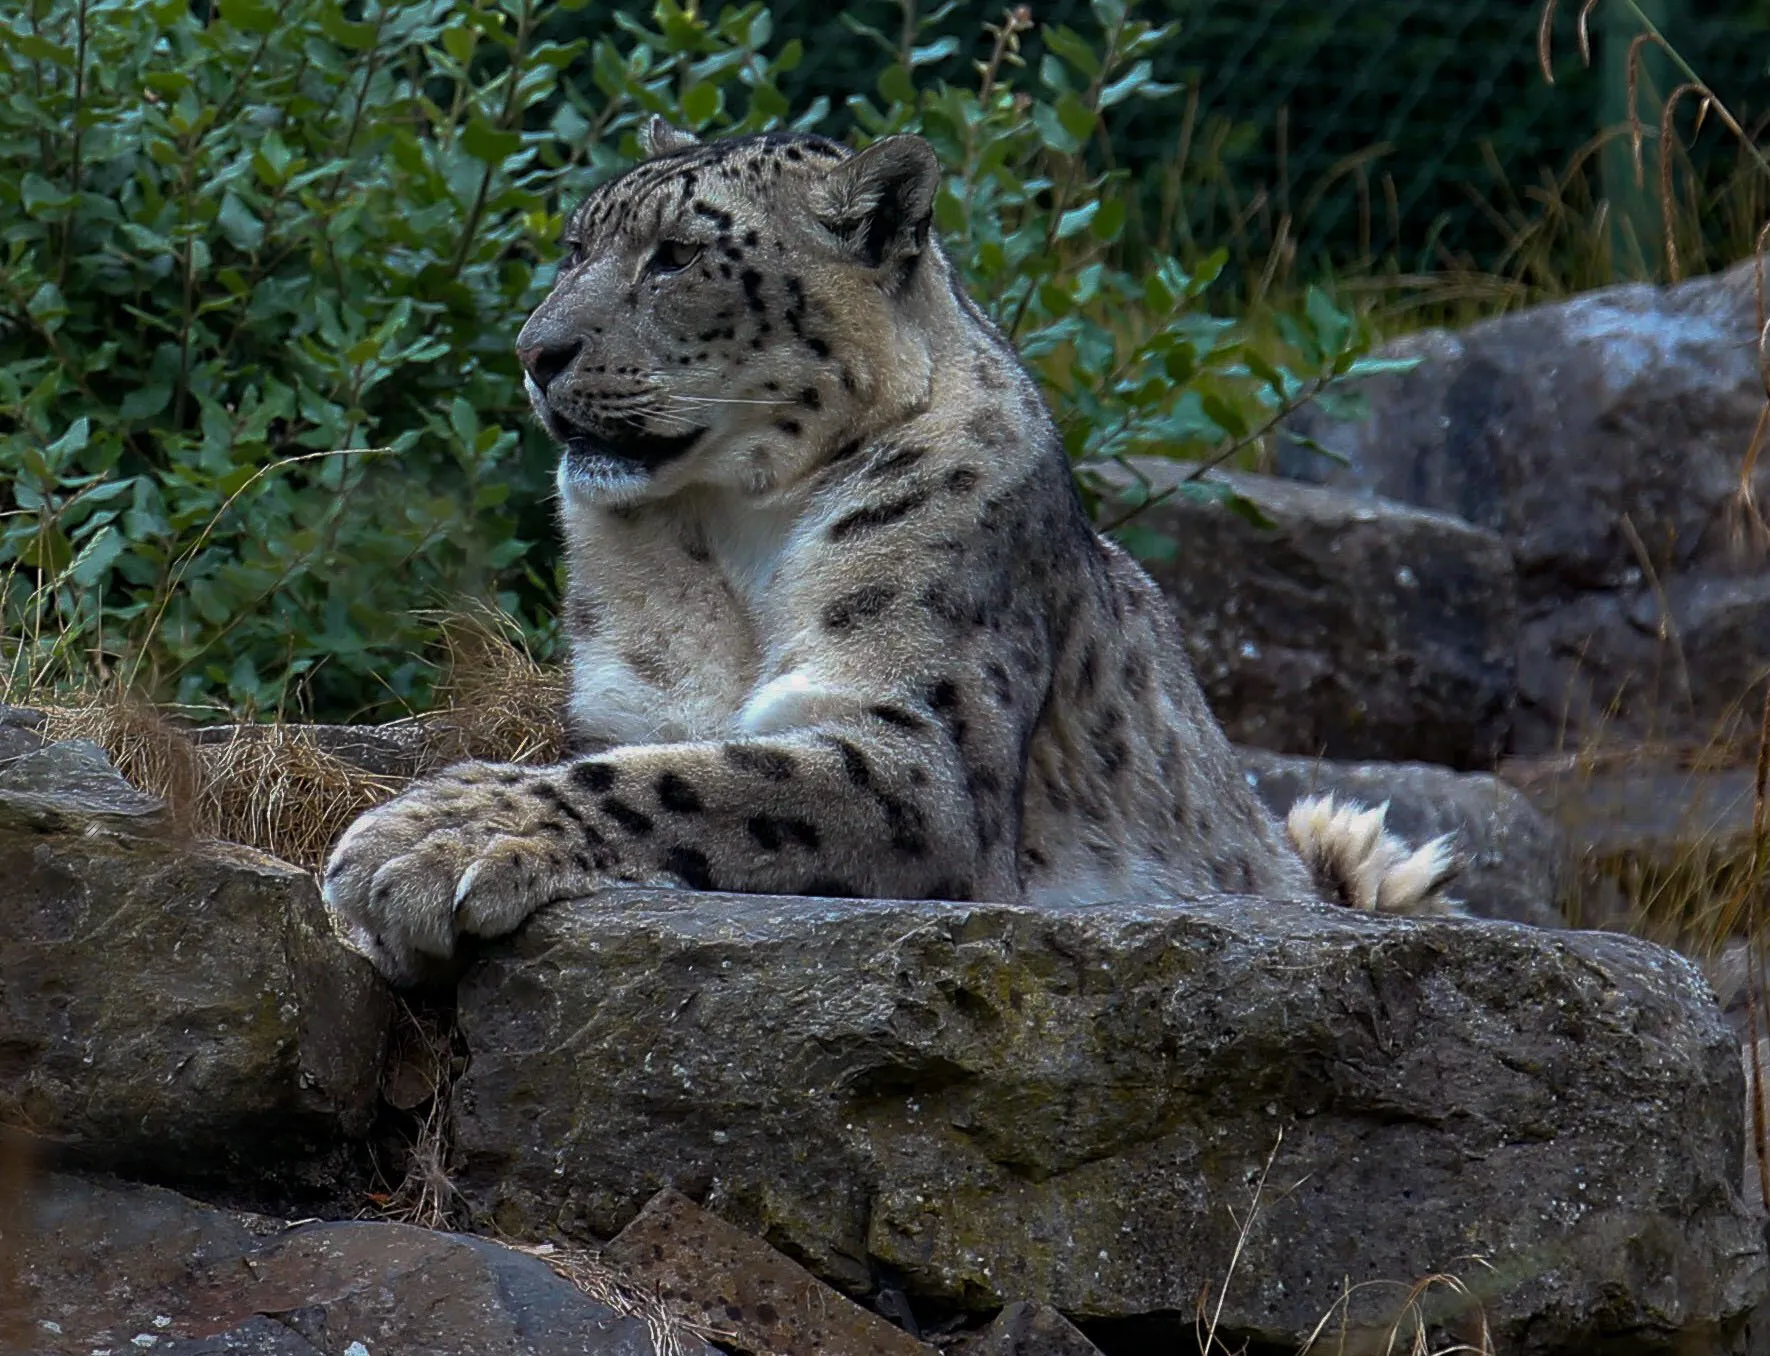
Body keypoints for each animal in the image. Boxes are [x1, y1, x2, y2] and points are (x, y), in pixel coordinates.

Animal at [321, 118, 1461, 986]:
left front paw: (424, 840)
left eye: (678, 255)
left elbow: (689, 781)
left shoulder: (917, 750)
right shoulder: (617, 708)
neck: (735, 546)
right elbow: (588, 752)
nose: (534, 351)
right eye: (574, 245)